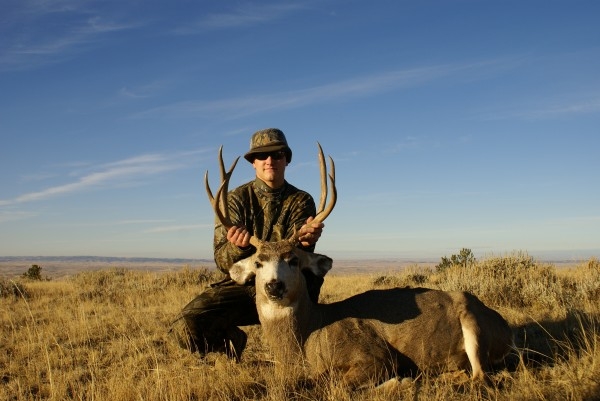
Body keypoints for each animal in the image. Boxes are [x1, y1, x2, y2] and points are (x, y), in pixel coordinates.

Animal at [204, 144, 512, 388]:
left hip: (473, 323)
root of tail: (504, 325)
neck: (308, 338)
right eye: (258, 262)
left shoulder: (374, 355)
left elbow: (332, 380)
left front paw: (401, 381)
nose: (274, 286)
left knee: (481, 376)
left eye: (294, 260)